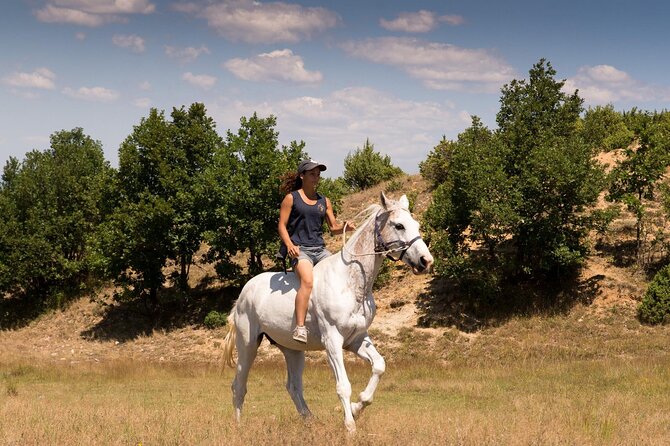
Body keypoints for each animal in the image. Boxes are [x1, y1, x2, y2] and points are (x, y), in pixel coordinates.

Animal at [221, 192, 434, 432]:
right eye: (399, 225)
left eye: (416, 224)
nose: (426, 261)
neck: (352, 283)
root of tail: (244, 293)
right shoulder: (332, 340)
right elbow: (343, 385)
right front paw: (350, 426)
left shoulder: (356, 339)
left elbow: (379, 366)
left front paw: (357, 407)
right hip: (247, 344)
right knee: (239, 385)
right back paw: (239, 426)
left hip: (292, 350)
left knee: (293, 386)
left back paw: (311, 421)